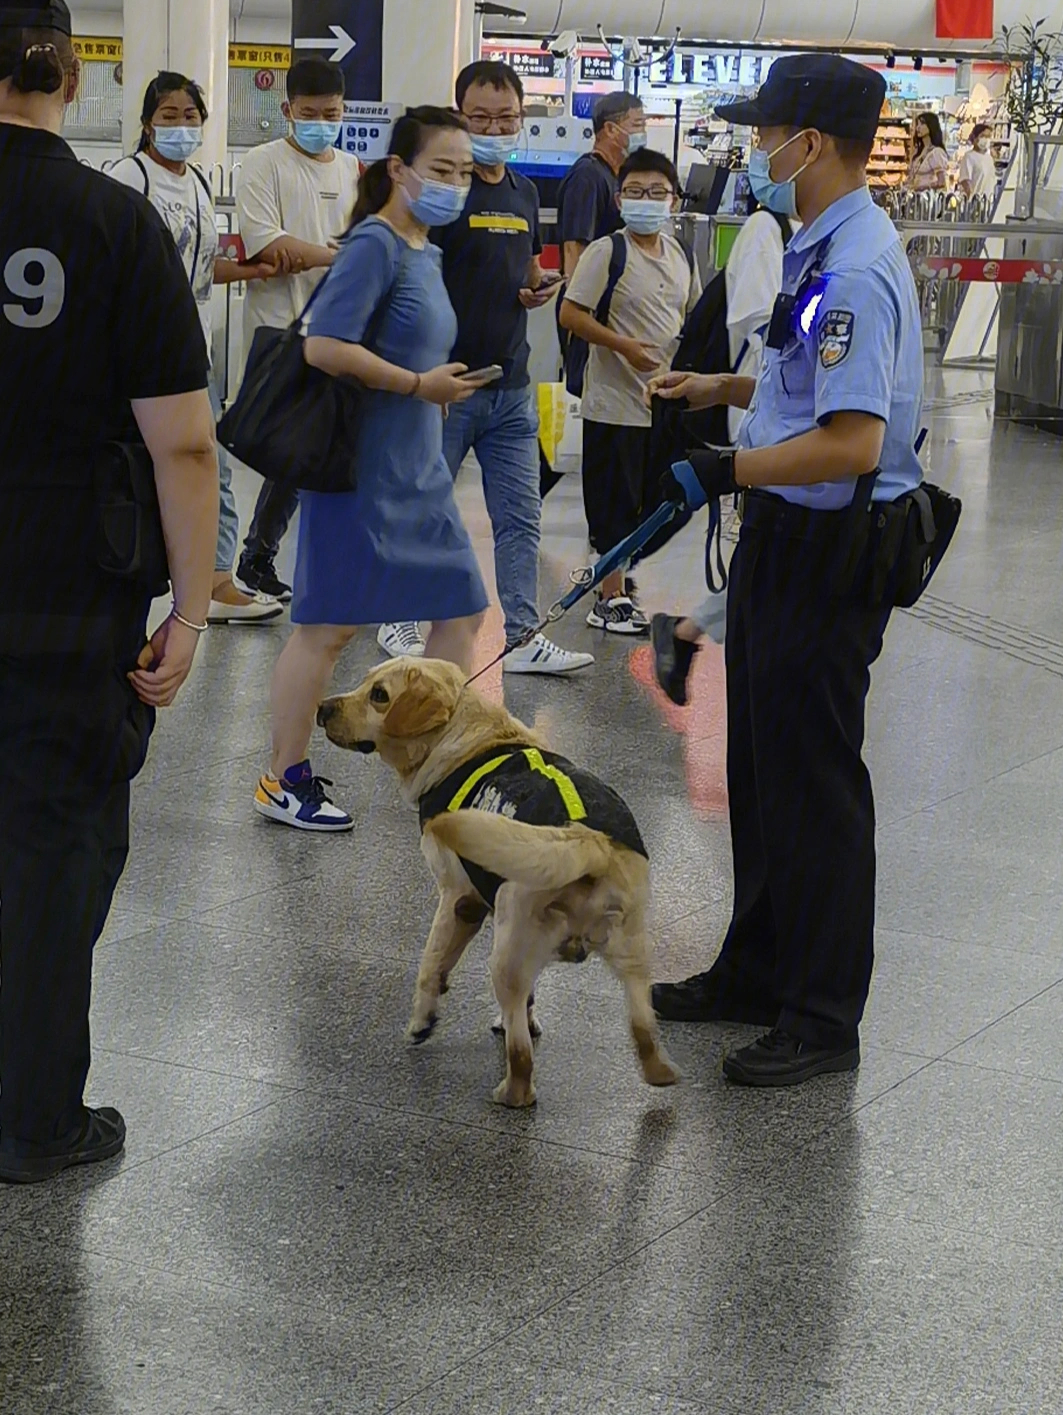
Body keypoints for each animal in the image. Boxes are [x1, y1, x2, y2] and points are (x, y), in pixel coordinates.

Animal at [318, 656, 682, 1109]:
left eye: (380, 695)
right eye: (366, 682)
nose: (321, 709)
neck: (465, 740)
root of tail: (586, 839)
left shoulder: (458, 900)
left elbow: (431, 964)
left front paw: (423, 1019)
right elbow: (526, 1000)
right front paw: (516, 1019)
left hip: (504, 956)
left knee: (522, 1059)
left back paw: (511, 1094)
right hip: (630, 955)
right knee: (643, 1031)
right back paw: (660, 1072)